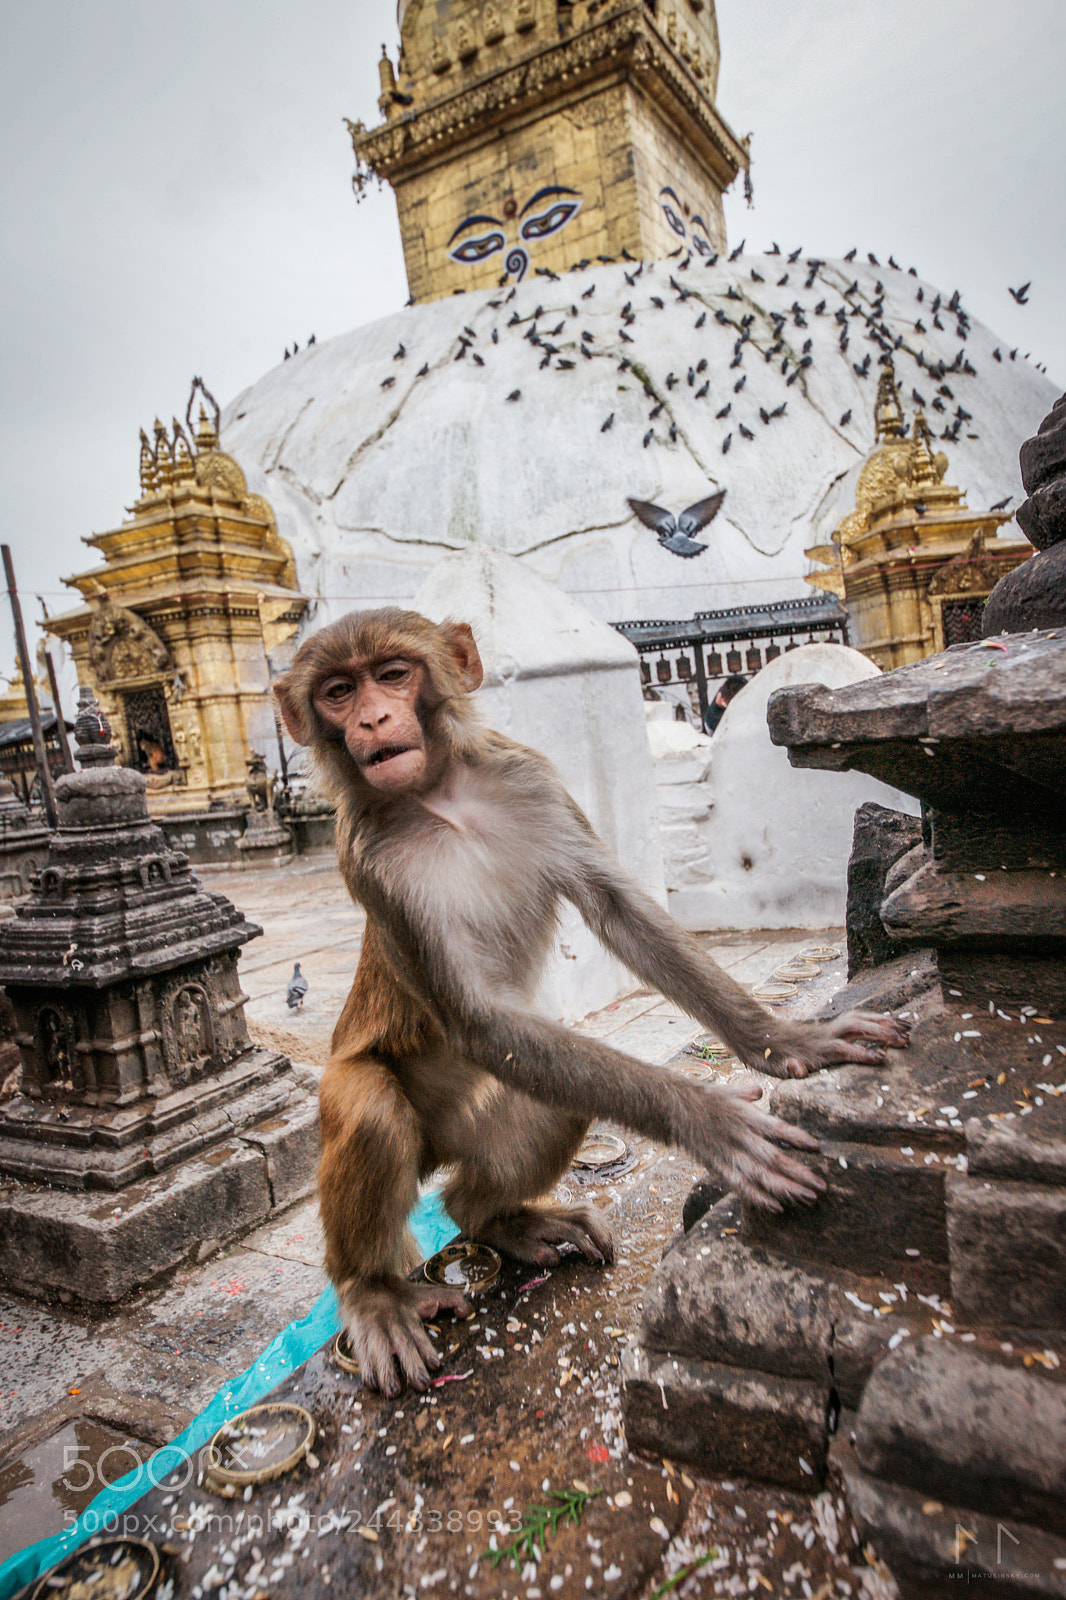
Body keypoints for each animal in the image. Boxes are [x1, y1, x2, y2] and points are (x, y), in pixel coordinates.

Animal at [273, 609, 909, 1397]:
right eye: (337, 691)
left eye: (391, 674)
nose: (370, 718)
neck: (440, 800)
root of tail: (439, 1154)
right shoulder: (365, 862)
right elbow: (479, 1019)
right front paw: (705, 1118)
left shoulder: (530, 777)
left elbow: (619, 912)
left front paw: (781, 1040)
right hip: (376, 1090)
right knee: (371, 1109)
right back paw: (371, 1293)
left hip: (490, 1118)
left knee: (550, 1110)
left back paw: (499, 1218)